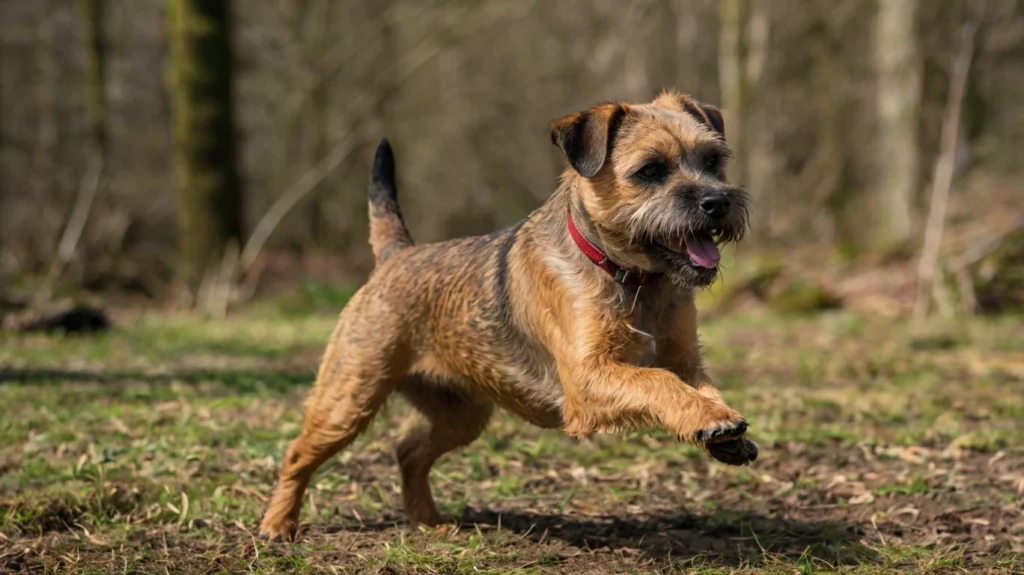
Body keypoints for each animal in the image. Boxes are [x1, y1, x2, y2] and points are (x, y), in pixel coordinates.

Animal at [260, 91, 757, 540]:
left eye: (713, 161)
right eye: (650, 170)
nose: (717, 201)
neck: (634, 278)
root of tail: (396, 255)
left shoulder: (684, 361)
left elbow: (694, 384)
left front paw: (720, 422)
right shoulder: (588, 380)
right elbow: (657, 381)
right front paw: (709, 419)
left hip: (459, 415)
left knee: (408, 452)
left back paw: (429, 522)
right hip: (348, 399)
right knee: (297, 454)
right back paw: (277, 526)